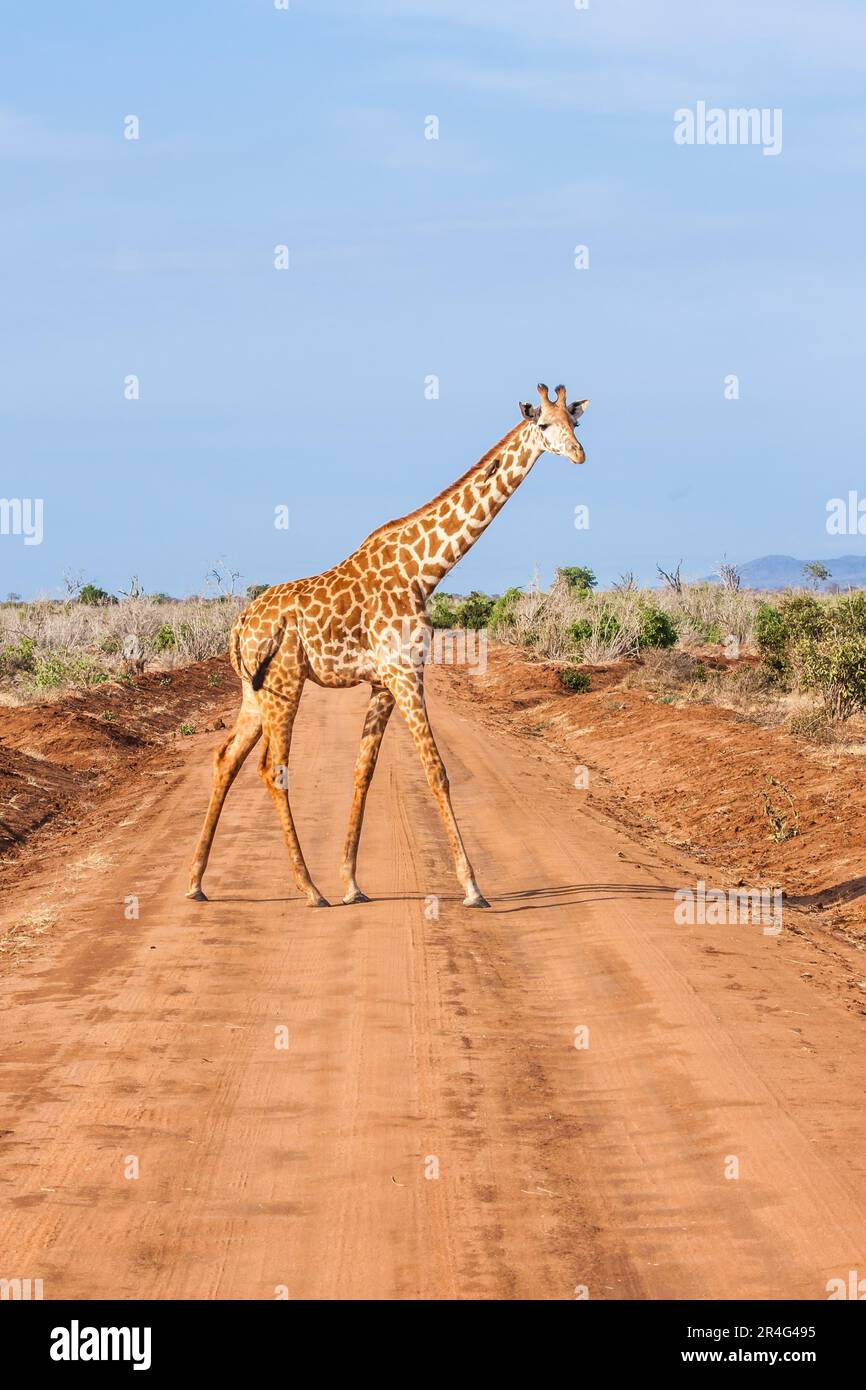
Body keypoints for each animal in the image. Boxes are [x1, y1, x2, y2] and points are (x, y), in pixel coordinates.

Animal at [184, 386, 589, 917]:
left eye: (575, 423)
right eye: (543, 425)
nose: (579, 454)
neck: (425, 568)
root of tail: (239, 627)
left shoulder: (381, 682)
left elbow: (364, 772)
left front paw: (352, 883)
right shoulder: (405, 673)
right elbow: (437, 771)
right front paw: (472, 888)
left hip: (253, 691)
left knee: (225, 758)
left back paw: (196, 881)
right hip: (284, 684)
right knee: (273, 770)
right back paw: (308, 889)